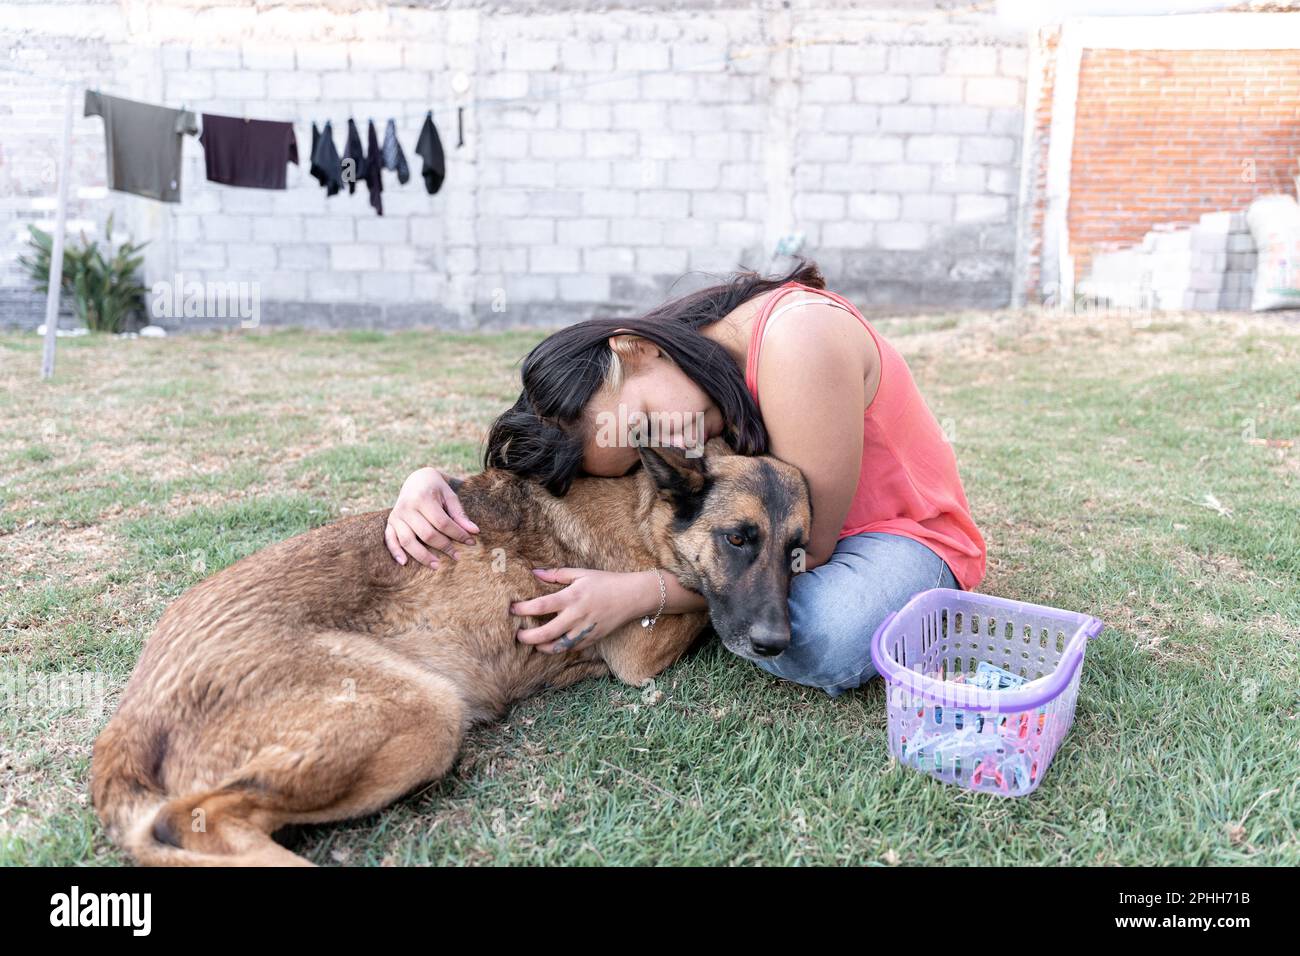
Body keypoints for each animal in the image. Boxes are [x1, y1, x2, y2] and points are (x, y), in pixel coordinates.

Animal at [94, 442, 811, 868]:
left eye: (799, 552)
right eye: (739, 538)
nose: (777, 643)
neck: (646, 511)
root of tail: (133, 711)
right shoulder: (644, 641)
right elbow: (697, 609)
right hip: (421, 713)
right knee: (186, 821)